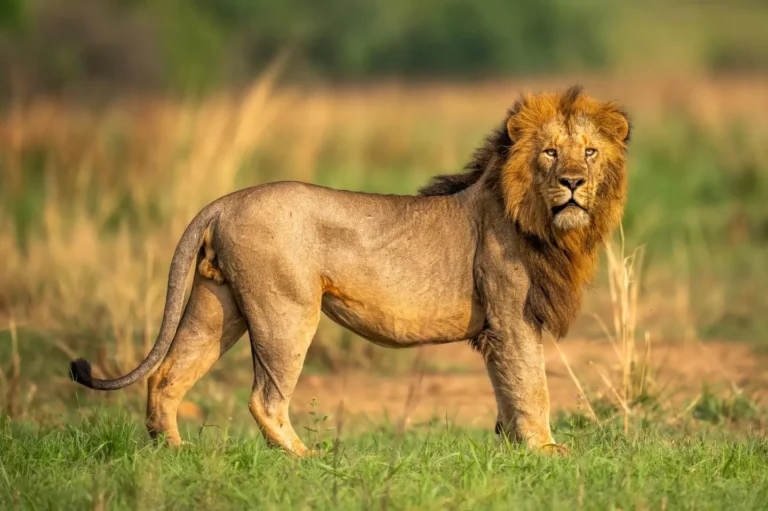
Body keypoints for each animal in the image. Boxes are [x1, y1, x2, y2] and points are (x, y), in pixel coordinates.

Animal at [69, 86, 630, 456]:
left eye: (590, 152)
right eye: (550, 153)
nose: (574, 182)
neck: (549, 226)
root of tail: (224, 202)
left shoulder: (498, 327)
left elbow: (505, 387)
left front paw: (512, 448)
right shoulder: (513, 315)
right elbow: (532, 385)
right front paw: (546, 452)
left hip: (215, 304)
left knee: (166, 375)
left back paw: (173, 452)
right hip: (286, 312)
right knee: (264, 398)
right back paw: (304, 459)